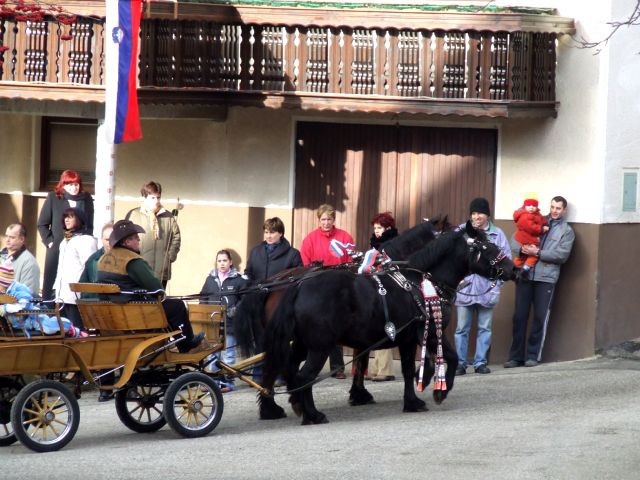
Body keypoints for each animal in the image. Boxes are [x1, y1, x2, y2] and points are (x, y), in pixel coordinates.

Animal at [255, 220, 516, 424]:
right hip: (320, 347)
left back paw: (289, 405)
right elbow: (449, 358)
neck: (421, 281)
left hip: (301, 343)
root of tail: (298, 285)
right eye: (487, 246)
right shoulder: (430, 333)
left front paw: (412, 399)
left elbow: (409, 368)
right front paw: (437, 391)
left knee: (287, 368)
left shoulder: (407, 339)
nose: (513, 269)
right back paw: (311, 415)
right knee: (304, 376)